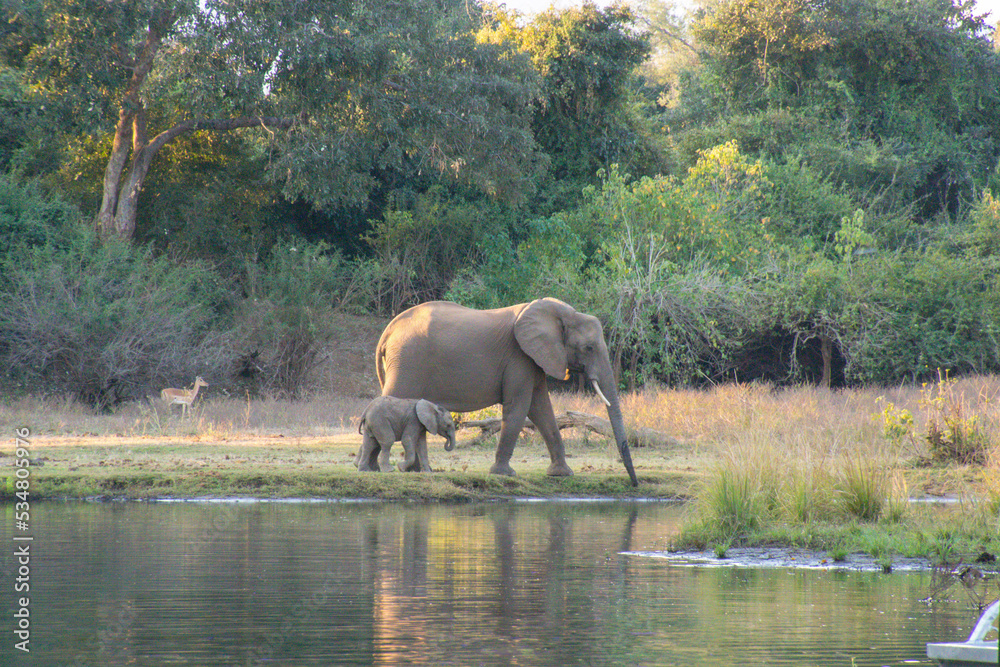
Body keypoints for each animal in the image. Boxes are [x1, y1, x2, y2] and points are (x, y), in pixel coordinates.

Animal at [376, 298, 638, 486]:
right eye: (589, 347)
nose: (633, 484)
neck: (559, 313)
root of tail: (388, 331)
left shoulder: (534, 359)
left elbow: (541, 409)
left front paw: (561, 474)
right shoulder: (519, 357)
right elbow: (519, 407)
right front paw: (503, 474)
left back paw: (414, 471)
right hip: (407, 360)